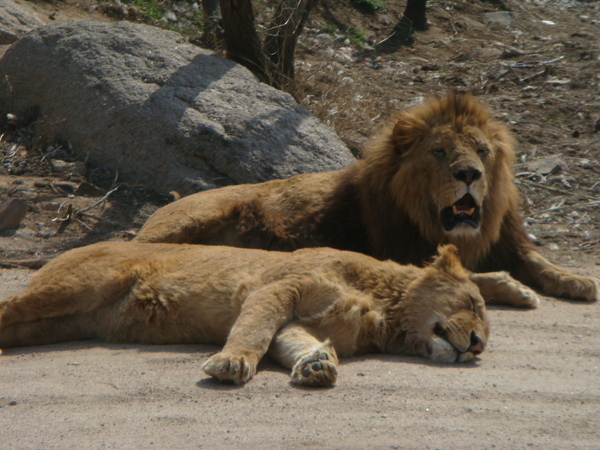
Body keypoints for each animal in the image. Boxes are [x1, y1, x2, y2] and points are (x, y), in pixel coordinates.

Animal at [0, 243, 488, 386]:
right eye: (475, 305)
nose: (479, 346)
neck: (384, 312)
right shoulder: (278, 287)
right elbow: (254, 331)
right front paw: (231, 363)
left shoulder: (300, 319)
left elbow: (290, 341)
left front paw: (316, 366)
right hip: (79, 285)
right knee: (9, 307)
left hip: (60, 321)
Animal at [137, 90, 600, 306]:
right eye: (440, 152)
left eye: (482, 151)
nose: (469, 174)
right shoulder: (398, 250)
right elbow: (457, 273)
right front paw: (513, 287)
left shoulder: (507, 238)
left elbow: (538, 260)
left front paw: (577, 280)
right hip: (197, 216)